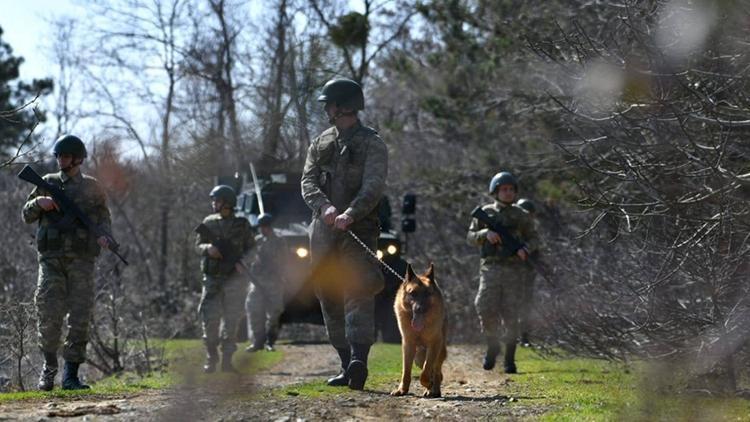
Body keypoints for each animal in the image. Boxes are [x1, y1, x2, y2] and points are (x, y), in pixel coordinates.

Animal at [390, 264, 450, 398]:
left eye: (427, 293)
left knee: (436, 372)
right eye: (413, 293)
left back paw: (434, 390)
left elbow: (426, 371)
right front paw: (402, 390)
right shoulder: (408, 345)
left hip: (438, 351)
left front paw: (428, 383)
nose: (419, 309)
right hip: (418, 357)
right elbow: (406, 371)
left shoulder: (434, 345)